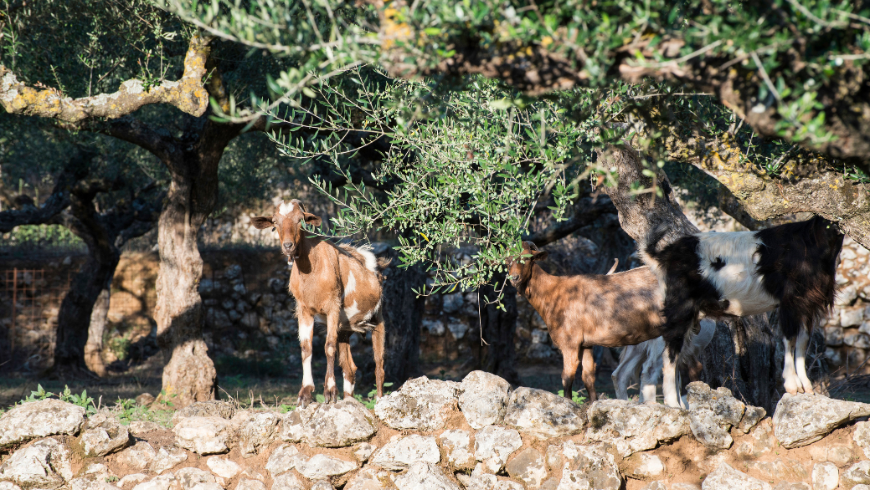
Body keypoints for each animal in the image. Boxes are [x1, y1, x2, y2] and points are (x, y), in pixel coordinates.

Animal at [252, 199, 388, 406]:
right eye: (275, 222)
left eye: (300, 220)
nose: (288, 246)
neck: (312, 269)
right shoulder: (304, 310)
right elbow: (306, 348)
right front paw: (305, 393)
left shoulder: (332, 306)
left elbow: (328, 346)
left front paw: (329, 391)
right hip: (345, 328)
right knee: (349, 367)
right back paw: (348, 400)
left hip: (377, 317)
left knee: (379, 364)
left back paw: (379, 400)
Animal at [642, 216, 843, 407]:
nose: (836, 228)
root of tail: (664, 256)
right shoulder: (789, 302)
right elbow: (790, 339)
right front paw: (792, 386)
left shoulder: (808, 305)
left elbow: (803, 342)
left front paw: (807, 387)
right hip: (679, 310)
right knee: (669, 357)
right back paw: (673, 404)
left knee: (676, 357)